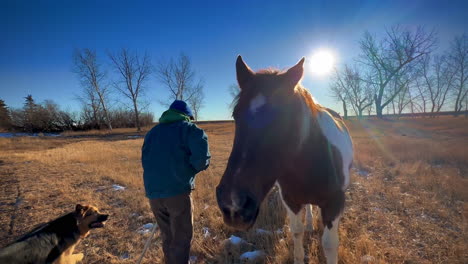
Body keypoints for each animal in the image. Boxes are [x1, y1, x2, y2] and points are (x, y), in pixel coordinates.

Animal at [215, 56, 352, 264]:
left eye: (285, 117)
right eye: (235, 115)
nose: (233, 205)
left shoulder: (334, 203)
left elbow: (329, 244)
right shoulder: (290, 200)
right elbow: (297, 233)